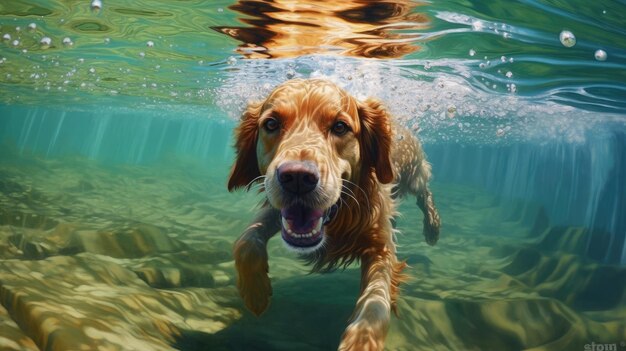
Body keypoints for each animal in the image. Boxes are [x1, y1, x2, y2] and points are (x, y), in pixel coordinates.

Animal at [227, 78, 436, 350]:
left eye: (340, 126)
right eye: (271, 124)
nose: (297, 178)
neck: (341, 213)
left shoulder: (381, 247)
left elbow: (375, 305)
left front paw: (361, 342)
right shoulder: (275, 211)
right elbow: (246, 241)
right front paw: (256, 293)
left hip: (415, 173)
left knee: (425, 193)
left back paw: (433, 227)